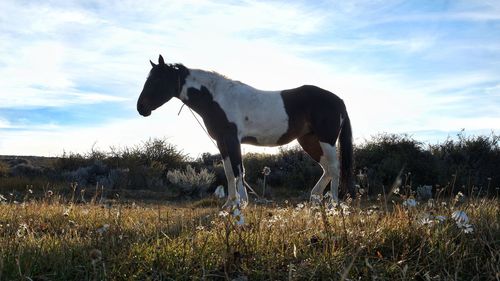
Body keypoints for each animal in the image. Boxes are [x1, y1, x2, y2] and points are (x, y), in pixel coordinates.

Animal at [137, 54, 354, 208]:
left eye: (157, 80)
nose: (141, 108)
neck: (218, 98)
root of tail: (338, 100)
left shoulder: (233, 139)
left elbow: (238, 170)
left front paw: (242, 202)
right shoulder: (221, 142)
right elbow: (228, 172)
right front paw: (229, 204)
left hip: (326, 140)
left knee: (334, 168)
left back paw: (334, 204)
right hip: (308, 140)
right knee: (326, 169)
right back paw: (315, 199)